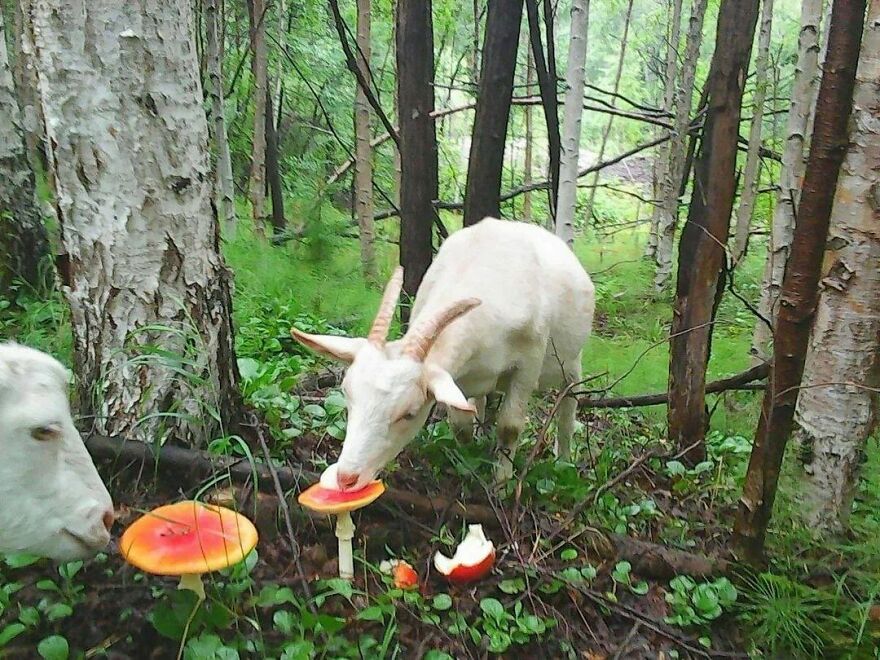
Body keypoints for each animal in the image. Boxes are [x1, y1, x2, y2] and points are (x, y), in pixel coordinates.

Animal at [292, 219, 596, 492]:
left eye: (410, 413)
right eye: (348, 397)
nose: (346, 478)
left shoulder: (529, 362)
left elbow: (509, 425)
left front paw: (501, 484)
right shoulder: (455, 377)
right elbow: (460, 425)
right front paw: (468, 464)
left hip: (571, 362)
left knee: (569, 402)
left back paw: (563, 461)